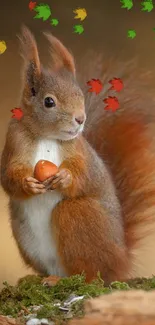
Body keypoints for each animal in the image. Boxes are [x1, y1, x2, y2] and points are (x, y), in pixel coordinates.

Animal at [0, 26, 154, 284]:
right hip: (24, 234)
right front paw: (27, 184)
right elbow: (8, 176)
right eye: (49, 101)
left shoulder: (79, 151)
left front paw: (66, 178)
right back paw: (47, 278)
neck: (47, 136)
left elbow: (83, 173)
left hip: (79, 215)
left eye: (80, 95)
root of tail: (121, 261)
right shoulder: (14, 142)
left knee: (91, 272)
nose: (80, 119)